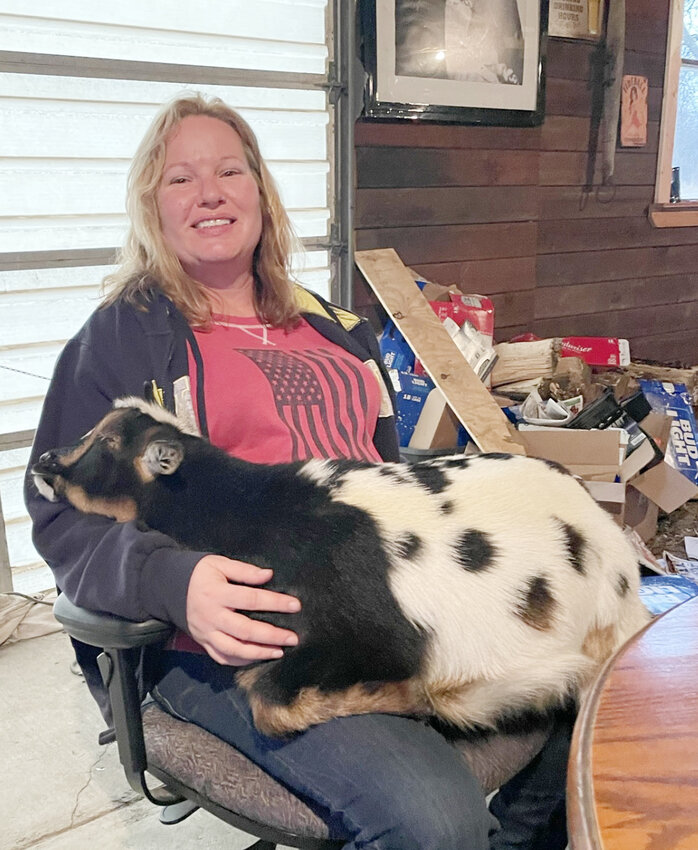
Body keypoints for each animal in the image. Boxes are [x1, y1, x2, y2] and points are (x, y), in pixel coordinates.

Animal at [34, 398, 648, 736]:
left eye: (107, 441)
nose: (44, 460)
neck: (252, 514)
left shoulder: (364, 639)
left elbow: (267, 703)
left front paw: (412, 699)